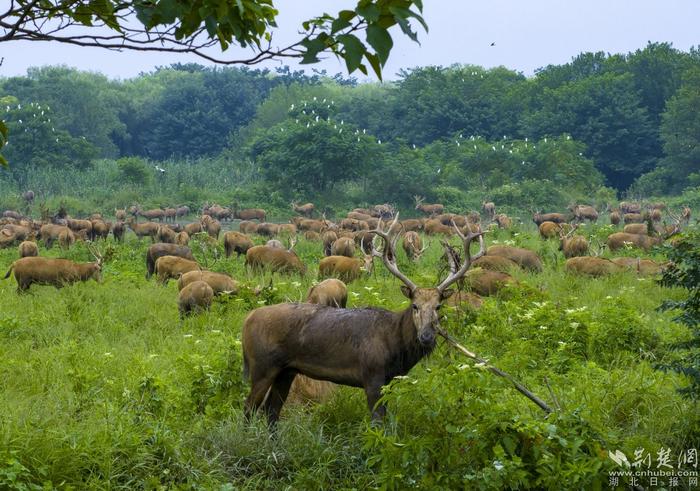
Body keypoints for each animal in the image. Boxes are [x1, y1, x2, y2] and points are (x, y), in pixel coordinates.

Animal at [241, 217, 486, 424]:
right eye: (414, 305)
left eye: (438, 306)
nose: (426, 336)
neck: (395, 347)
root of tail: (248, 319)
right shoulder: (372, 376)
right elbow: (378, 423)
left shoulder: (389, 382)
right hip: (262, 365)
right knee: (249, 409)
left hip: (286, 370)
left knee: (271, 411)